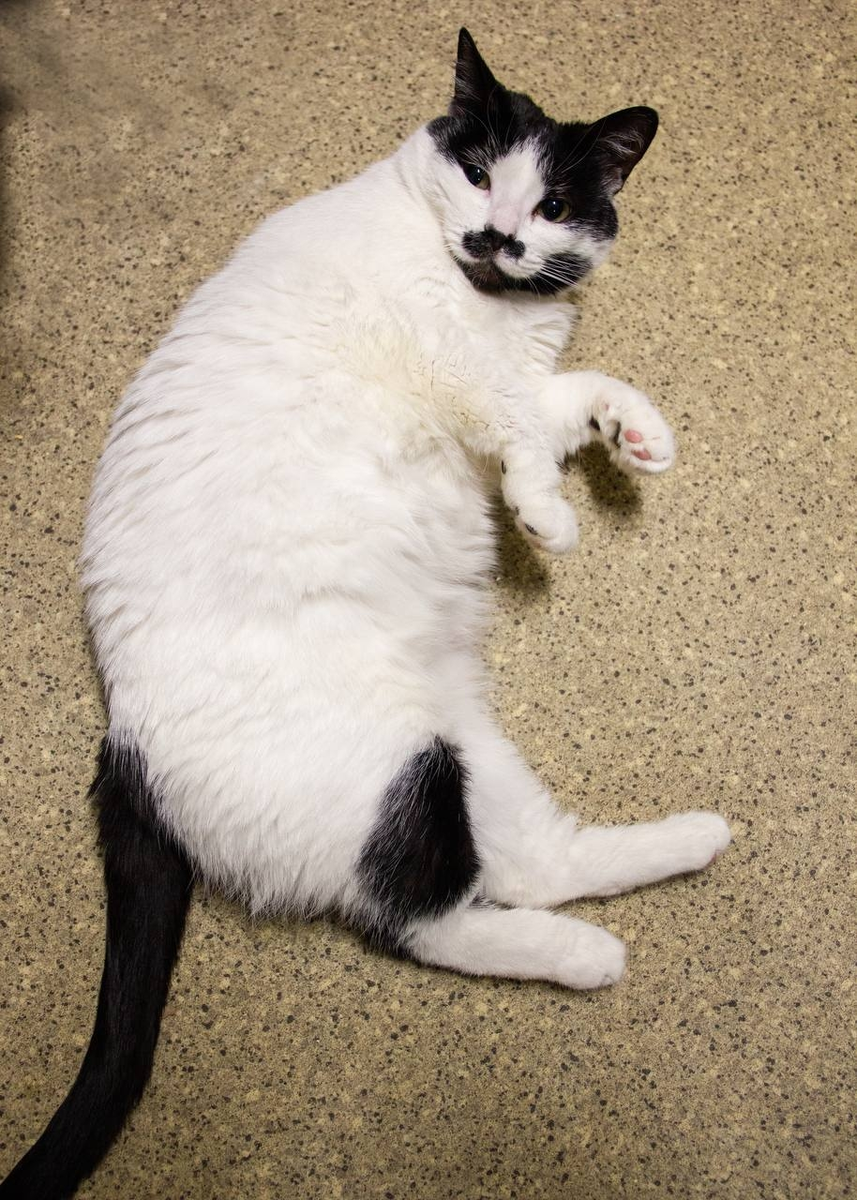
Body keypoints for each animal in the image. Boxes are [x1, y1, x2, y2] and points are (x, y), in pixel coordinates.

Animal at [1, 29, 731, 1200]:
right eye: (477, 173)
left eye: (554, 201)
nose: (496, 234)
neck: (486, 300)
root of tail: (121, 746)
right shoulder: (455, 367)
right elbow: (517, 426)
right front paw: (550, 516)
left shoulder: (517, 376)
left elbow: (573, 390)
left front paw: (637, 436)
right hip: (403, 765)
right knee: (417, 917)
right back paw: (592, 950)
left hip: (456, 744)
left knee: (525, 867)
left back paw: (685, 847)